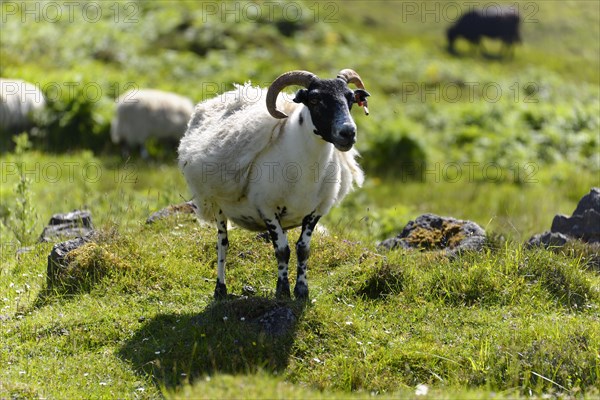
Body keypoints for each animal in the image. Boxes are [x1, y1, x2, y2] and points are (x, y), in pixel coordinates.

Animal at [178, 69, 368, 300]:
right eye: (315, 99)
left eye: (350, 99)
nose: (348, 133)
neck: (306, 171)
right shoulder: (267, 208)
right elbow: (282, 251)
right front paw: (282, 290)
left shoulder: (316, 211)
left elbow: (302, 249)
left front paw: (302, 290)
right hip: (218, 206)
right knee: (222, 244)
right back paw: (220, 289)